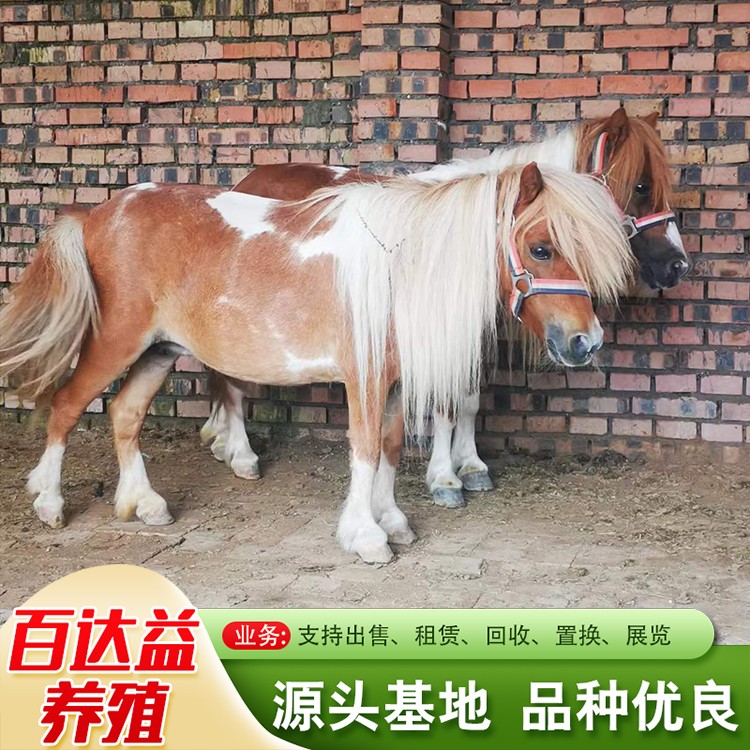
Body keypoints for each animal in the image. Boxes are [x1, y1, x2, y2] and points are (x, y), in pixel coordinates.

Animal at [0, 163, 634, 563]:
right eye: (541, 248)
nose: (586, 342)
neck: (399, 267)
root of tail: (96, 214)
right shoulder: (364, 376)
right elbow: (364, 447)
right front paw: (366, 537)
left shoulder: (392, 380)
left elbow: (390, 447)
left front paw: (393, 521)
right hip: (116, 342)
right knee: (66, 406)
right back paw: (50, 503)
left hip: (160, 351)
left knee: (125, 415)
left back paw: (146, 505)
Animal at [200, 107, 689, 506]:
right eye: (641, 187)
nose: (678, 265)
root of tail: (243, 183)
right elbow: (444, 403)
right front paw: (444, 479)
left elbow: (467, 398)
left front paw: (470, 466)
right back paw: (241, 453)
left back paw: (221, 440)